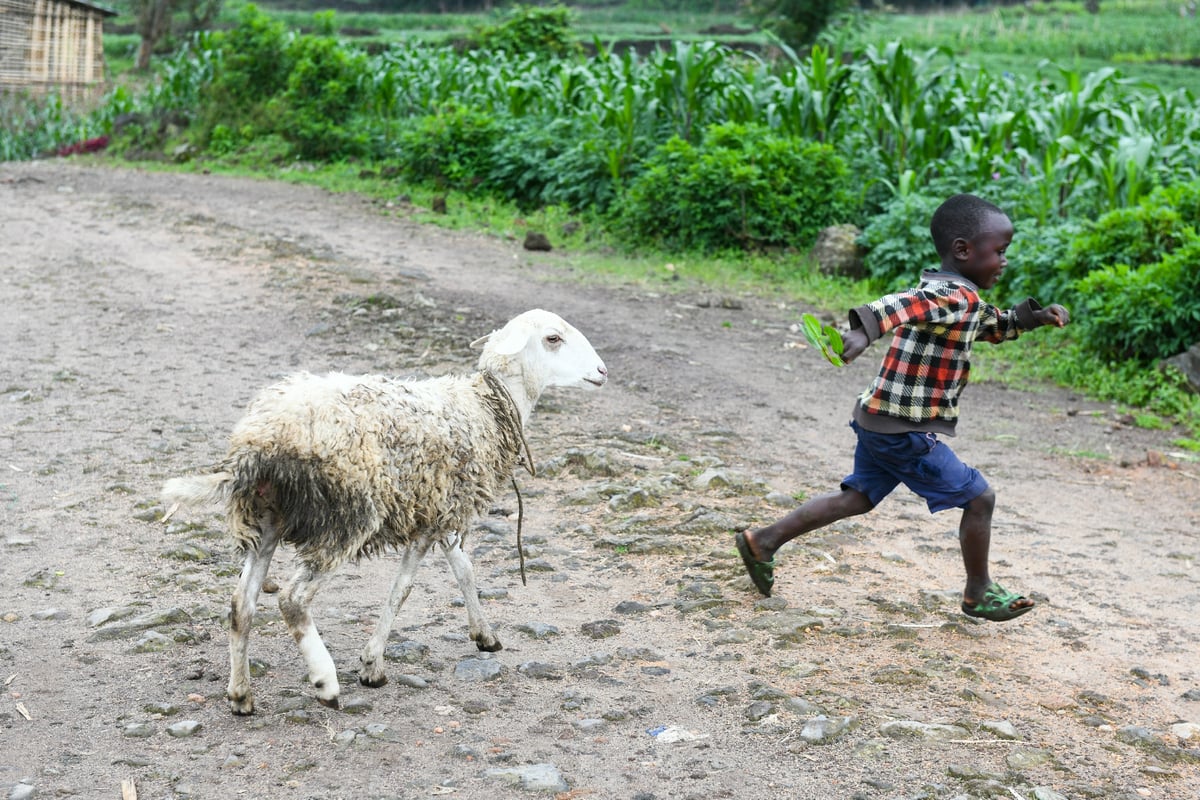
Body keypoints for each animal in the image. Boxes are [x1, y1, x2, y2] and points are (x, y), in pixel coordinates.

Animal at [162, 309, 609, 714]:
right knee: (292, 599)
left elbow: (464, 569)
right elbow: (402, 590)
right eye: (553, 338)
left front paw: (484, 635)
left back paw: (241, 695)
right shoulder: (431, 519)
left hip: (266, 517)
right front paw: (371, 665)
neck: (486, 407)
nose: (603, 371)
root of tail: (261, 442)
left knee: (241, 604)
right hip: (346, 515)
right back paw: (325, 682)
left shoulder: (441, 508)